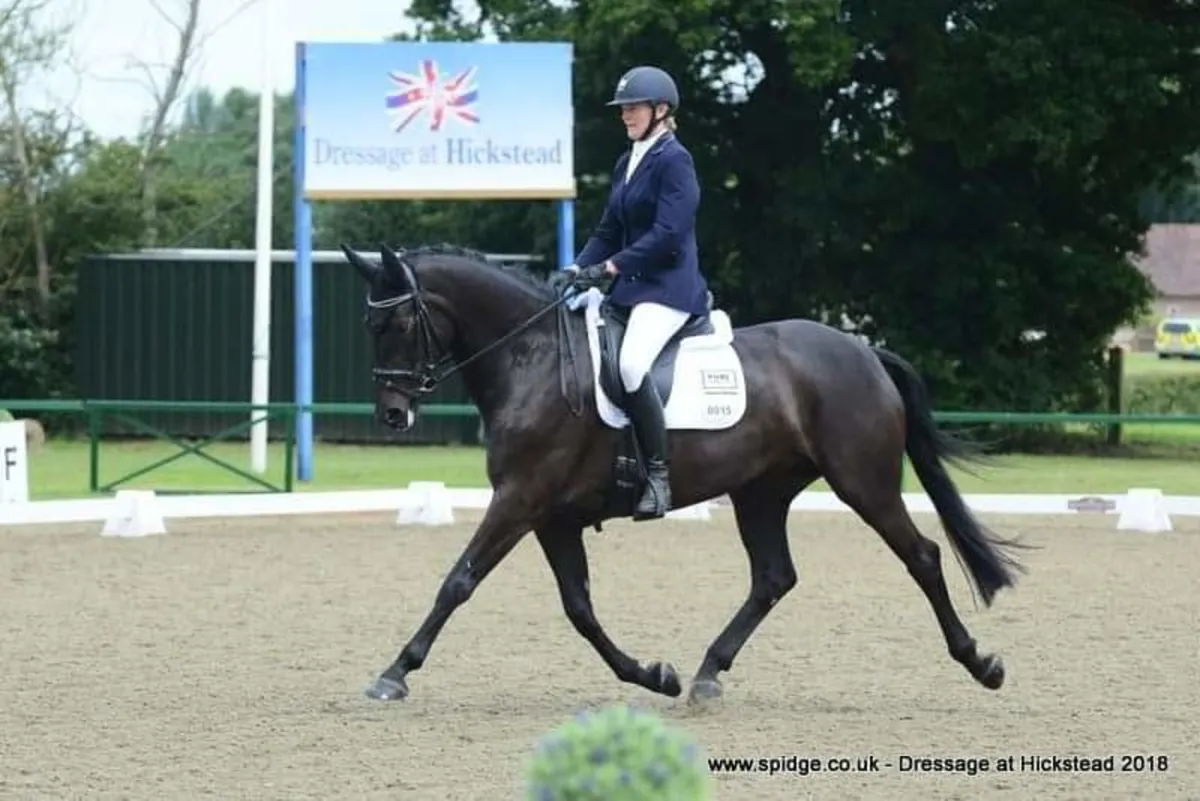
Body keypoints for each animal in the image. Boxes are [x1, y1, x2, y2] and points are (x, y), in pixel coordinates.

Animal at [339, 241, 1026, 706]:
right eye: (368, 325)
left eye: (400, 323)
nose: (393, 415)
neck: (529, 357)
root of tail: (862, 349)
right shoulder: (552, 516)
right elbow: (579, 608)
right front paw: (653, 675)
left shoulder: (520, 500)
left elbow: (459, 581)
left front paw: (394, 673)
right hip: (760, 492)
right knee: (774, 577)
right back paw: (705, 674)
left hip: (864, 482)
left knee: (923, 557)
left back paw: (982, 664)